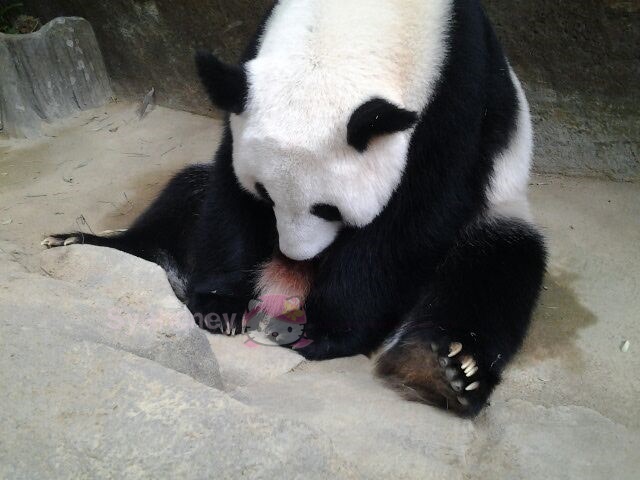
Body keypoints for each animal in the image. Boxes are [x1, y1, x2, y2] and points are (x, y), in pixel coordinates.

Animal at [42, 0, 548, 416]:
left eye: (330, 210)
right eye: (266, 196)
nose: (297, 257)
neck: (358, 22)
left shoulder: (454, 89)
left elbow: (416, 215)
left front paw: (327, 329)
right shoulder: (251, 69)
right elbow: (227, 187)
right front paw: (220, 304)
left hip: (499, 210)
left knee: (496, 267)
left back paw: (445, 369)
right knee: (184, 199)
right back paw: (84, 242)